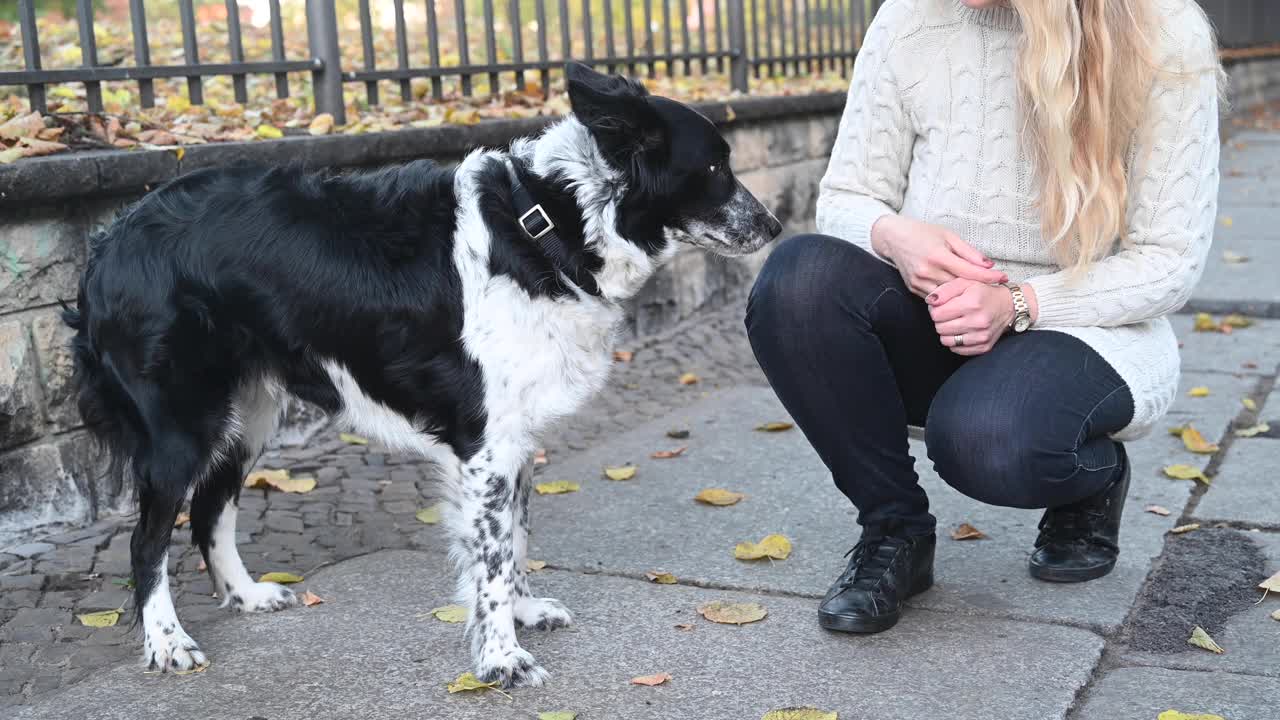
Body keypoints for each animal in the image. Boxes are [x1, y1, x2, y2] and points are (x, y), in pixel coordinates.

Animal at [67, 61, 778, 681]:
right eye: (714, 168)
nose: (772, 225)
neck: (550, 224)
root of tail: (113, 238)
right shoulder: (484, 444)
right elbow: (492, 558)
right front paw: (500, 658)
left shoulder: (513, 438)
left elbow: (514, 541)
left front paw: (522, 613)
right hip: (184, 423)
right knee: (147, 539)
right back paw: (167, 641)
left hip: (249, 413)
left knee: (212, 507)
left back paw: (246, 596)